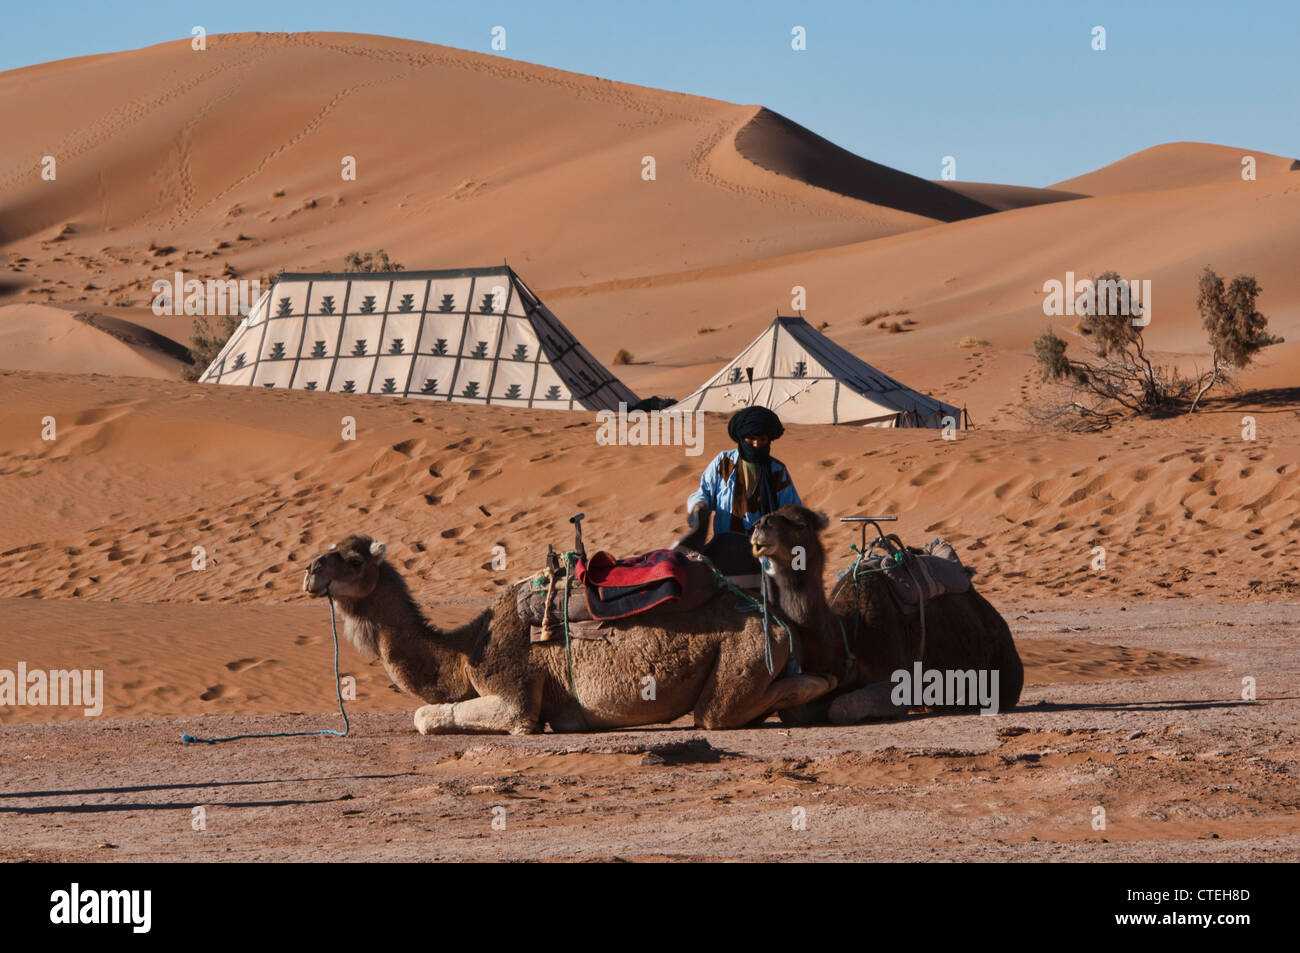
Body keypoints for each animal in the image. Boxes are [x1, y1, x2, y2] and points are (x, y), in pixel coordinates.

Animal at [300, 530, 837, 733]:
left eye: (352, 559)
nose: (310, 571)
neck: (465, 649)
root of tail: (774, 618)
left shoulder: (513, 692)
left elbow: (427, 716)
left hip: (742, 651)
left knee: (717, 713)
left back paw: (817, 688)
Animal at [748, 509, 1019, 722]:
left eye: (800, 524)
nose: (760, 525)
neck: (848, 636)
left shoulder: (894, 680)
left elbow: (842, 707)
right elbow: (794, 711)